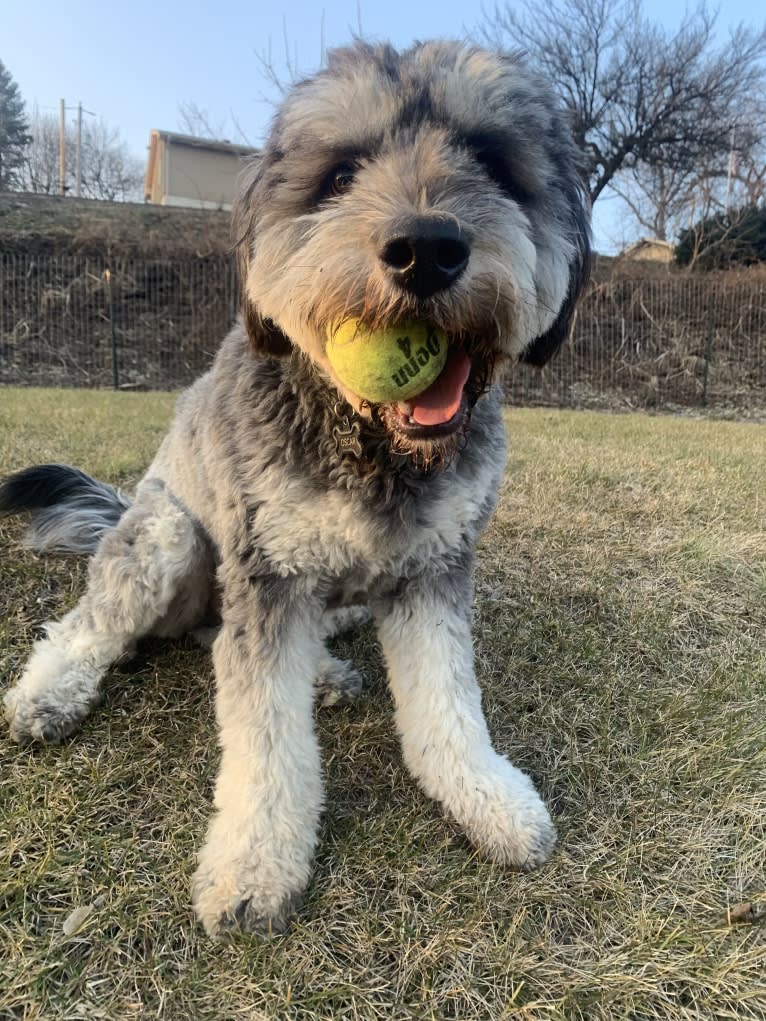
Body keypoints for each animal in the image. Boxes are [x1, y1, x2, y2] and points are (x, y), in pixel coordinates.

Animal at [0, 39, 592, 935]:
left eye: (493, 160)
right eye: (340, 174)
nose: (427, 248)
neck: (372, 441)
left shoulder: (434, 570)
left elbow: (448, 704)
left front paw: (486, 795)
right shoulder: (268, 573)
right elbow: (265, 740)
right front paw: (254, 861)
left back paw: (325, 672)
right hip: (170, 539)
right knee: (97, 627)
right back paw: (47, 695)